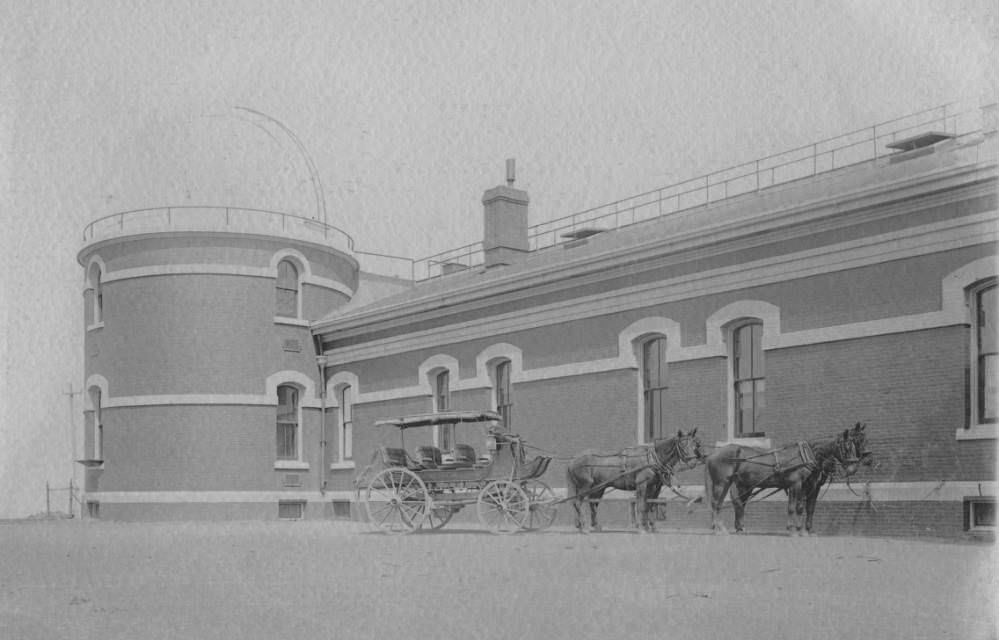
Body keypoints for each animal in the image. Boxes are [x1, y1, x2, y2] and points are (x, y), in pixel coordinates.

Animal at [572, 430, 704, 536]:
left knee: (592, 504)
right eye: (682, 444)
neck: (651, 459)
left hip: (598, 487)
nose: (693, 462)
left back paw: (590, 526)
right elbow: (641, 505)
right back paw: (584, 528)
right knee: (578, 502)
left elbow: (650, 505)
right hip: (585, 486)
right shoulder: (642, 484)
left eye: (695, 445)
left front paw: (651, 527)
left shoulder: (654, 486)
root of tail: (573, 460)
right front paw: (641, 528)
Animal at [704, 424, 868, 536]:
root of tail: (712, 454)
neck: (807, 455)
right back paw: (718, 529)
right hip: (721, 483)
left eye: (858, 443)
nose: (853, 468)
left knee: (732, 504)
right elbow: (794, 508)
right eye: (847, 447)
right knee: (716, 503)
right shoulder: (796, 485)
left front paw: (805, 530)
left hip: (735, 484)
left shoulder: (809, 486)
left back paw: (731, 528)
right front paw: (795, 530)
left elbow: (806, 508)